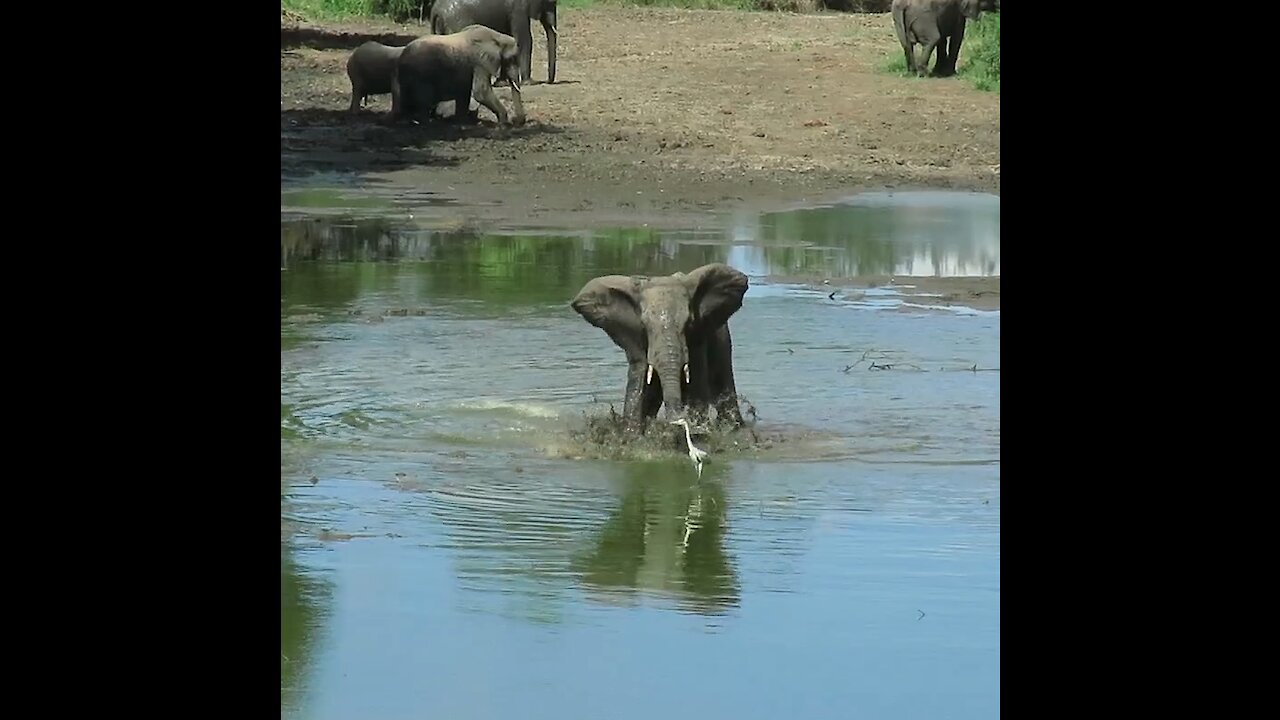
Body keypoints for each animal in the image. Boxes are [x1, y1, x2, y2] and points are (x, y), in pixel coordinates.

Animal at [570, 262, 747, 430]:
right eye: (644, 325)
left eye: (689, 323)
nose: (677, 421)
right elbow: (639, 383)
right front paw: (631, 433)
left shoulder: (698, 339)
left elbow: (697, 387)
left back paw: (733, 426)